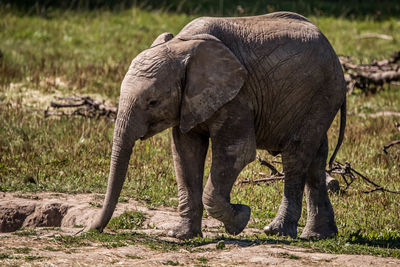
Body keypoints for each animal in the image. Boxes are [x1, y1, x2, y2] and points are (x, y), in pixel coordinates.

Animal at [89, 11, 346, 241]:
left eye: (153, 102)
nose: (91, 230)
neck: (182, 44)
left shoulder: (238, 96)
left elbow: (237, 151)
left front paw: (240, 218)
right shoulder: (189, 102)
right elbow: (185, 153)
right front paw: (181, 236)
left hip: (319, 95)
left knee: (296, 156)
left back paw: (277, 232)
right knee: (316, 158)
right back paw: (319, 235)